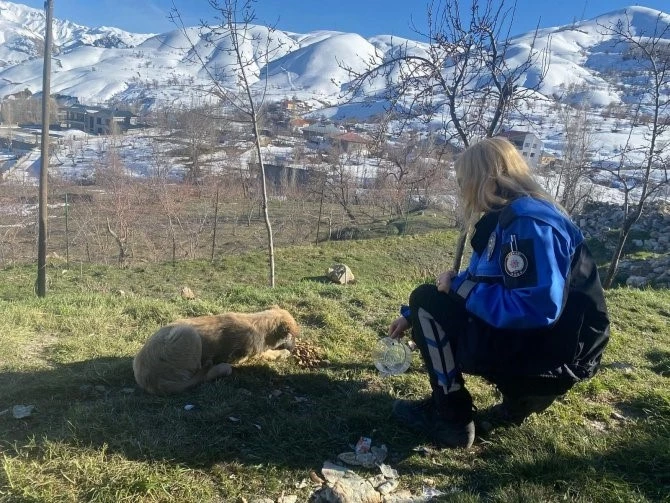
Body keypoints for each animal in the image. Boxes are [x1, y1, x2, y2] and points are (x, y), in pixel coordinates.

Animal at [133, 308, 300, 398]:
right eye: (294, 336)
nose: (294, 348)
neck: (259, 323)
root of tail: (150, 381)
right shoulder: (245, 355)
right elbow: (266, 353)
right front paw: (283, 353)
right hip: (188, 334)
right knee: (203, 375)